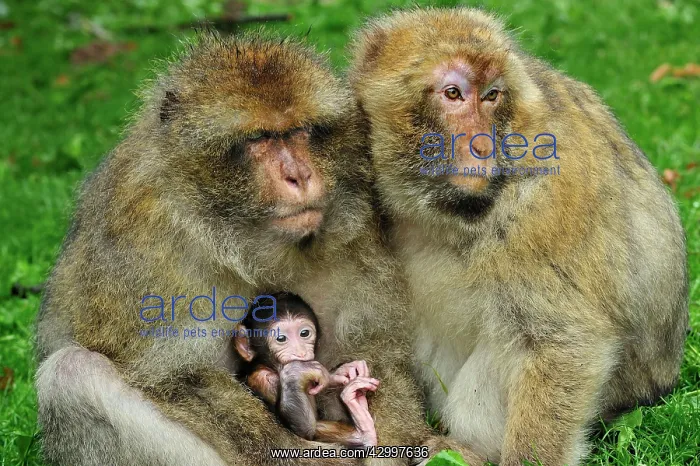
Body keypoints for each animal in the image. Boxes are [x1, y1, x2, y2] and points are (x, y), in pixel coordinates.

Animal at [233, 291, 379, 447]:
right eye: (281, 338)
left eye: (304, 333)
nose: (301, 352)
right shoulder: (264, 380)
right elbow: (304, 431)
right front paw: (297, 371)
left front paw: (337, 374)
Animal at [349, 7, 689, 466]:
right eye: (453, 93)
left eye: (492, 95)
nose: (481, 145)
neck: (443, 211)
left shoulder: (548, 203)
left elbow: (562, 342)